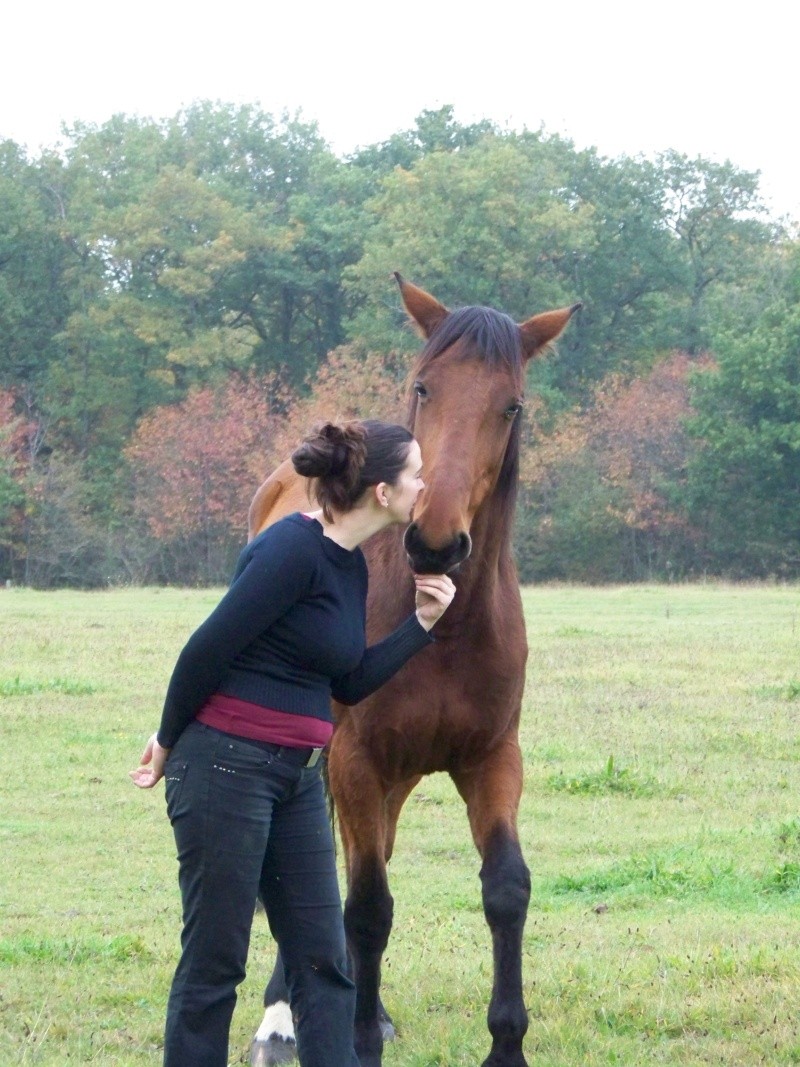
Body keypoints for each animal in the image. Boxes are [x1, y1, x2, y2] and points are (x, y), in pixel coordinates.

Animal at [247, 277, 580, 1067]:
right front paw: (358, 1038)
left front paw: (506, 1045)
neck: (443, 631)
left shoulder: (492, 758)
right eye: (424, 386)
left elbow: (505, 889)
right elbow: (368, 905)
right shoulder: (357, 759)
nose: (434, 540)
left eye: (512, 405)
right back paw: (282, 1015)